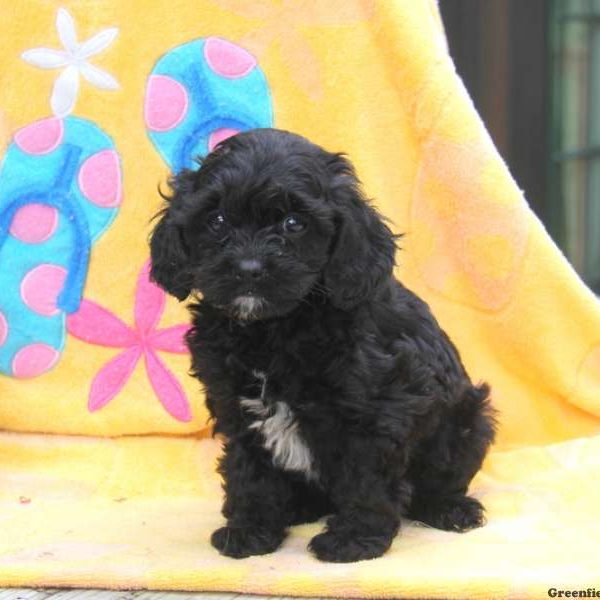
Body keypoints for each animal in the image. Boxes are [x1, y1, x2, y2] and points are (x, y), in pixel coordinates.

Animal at [148, 127, 494, 564]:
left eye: (294, 223)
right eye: (218, 220)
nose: (248, 269)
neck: (274, 329)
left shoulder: (377, 409)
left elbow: (366, 478)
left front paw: (354, 540)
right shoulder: (236, 407)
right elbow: (249, 471)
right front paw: (250, 530)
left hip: (469, 420)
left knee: (442, 477)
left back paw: (450, 508)